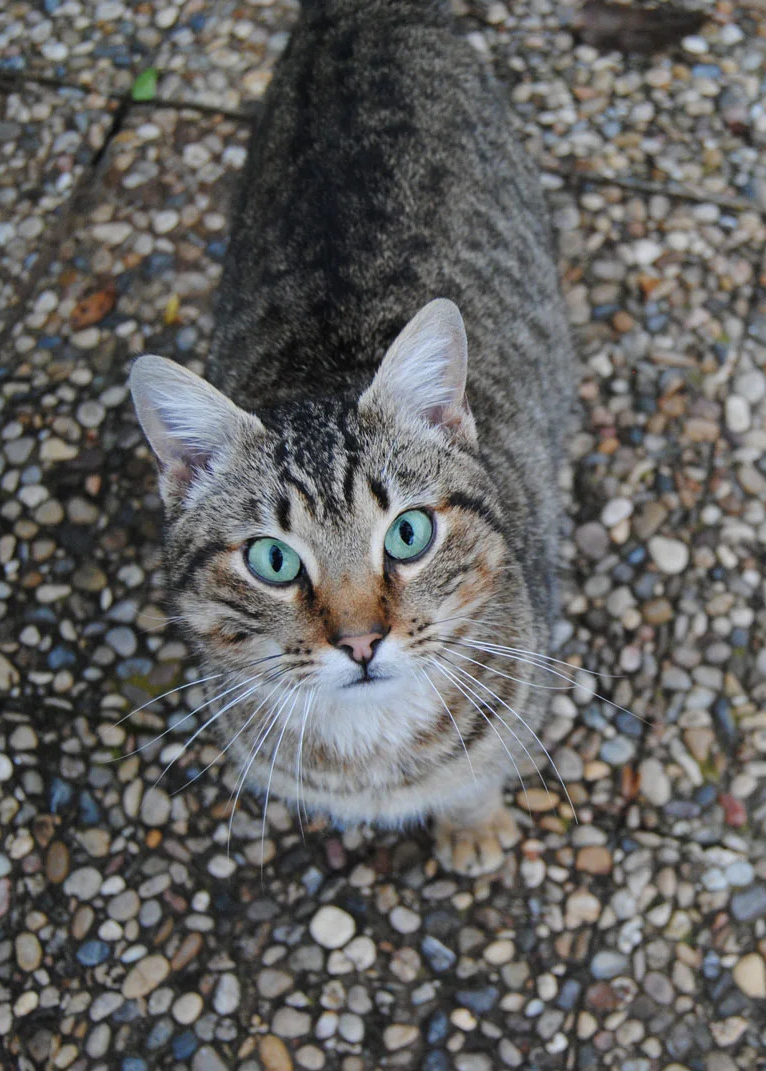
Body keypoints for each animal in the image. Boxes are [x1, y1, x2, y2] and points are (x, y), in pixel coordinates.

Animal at [129, 0, 574, 873]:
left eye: (409, 533)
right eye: (272, 560)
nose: (363, 642)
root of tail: (356, 13)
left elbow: (480, 769)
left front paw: (474, 824)